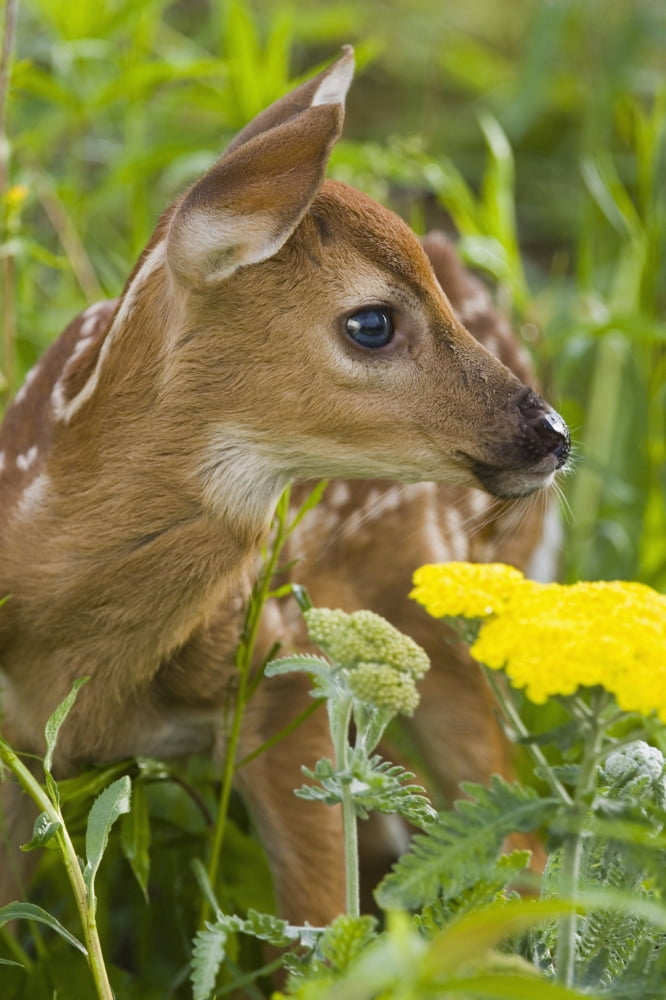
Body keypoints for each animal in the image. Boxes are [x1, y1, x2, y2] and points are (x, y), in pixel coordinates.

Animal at [0, 47, 569, 927]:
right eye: (371, 322)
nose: (552, 433)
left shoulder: (284, 669)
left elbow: (319, 925)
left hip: (436, 606)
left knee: (518, 842)